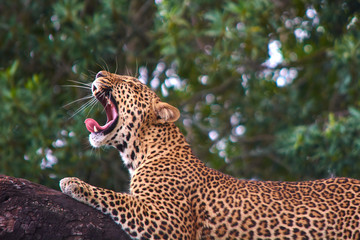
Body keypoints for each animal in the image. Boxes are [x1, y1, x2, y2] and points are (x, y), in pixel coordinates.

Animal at [60, 70, 360, 239]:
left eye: (131, 84)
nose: (98, 73)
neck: (143, 151)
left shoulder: (166, 219)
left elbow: (114, 197)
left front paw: (73, 183)